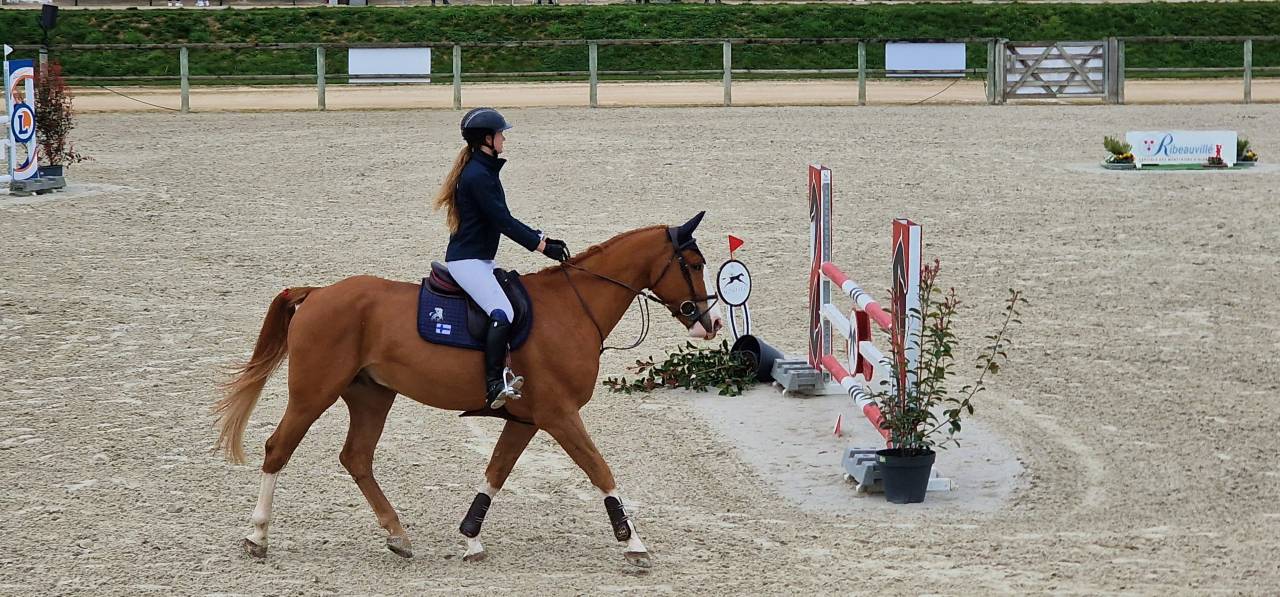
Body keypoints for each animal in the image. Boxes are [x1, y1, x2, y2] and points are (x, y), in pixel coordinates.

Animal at [213, 212, 722, 568]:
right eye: (695, 264)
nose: (713, 322)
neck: (572, 307)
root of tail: (317, 293)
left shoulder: (528, 419)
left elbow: (496, 473)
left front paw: (471, 537)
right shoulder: (559, 415)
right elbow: (600, 470)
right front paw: (633, 542)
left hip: (371, 395)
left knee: (356, 457)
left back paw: (397, 534)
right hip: (313, 393)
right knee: (279, 448)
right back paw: (257, 537)